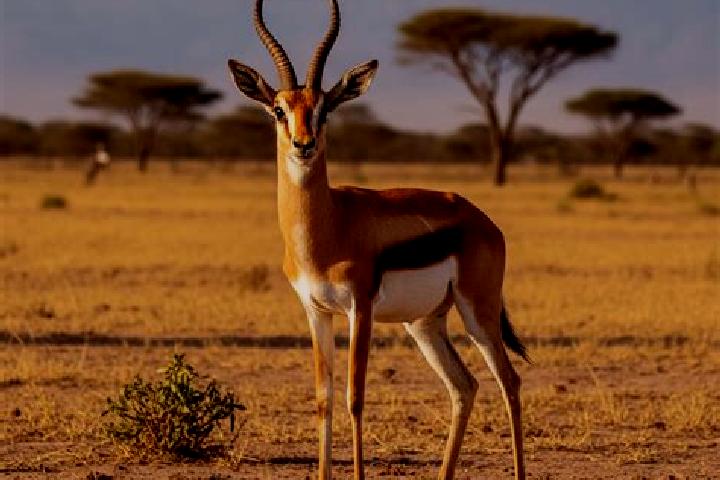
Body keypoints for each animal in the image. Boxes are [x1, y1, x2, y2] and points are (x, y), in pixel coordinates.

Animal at [228, 1, 529, 478]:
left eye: (325, 109)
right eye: (278, 109)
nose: (303, 144)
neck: (329, 226)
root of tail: (482, 220)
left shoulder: (360, 308)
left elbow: (355, 397)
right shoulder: (315, 311)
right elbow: (324, 399)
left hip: (477, 311)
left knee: (509, 381)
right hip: (424, 323)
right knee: (464, 385)